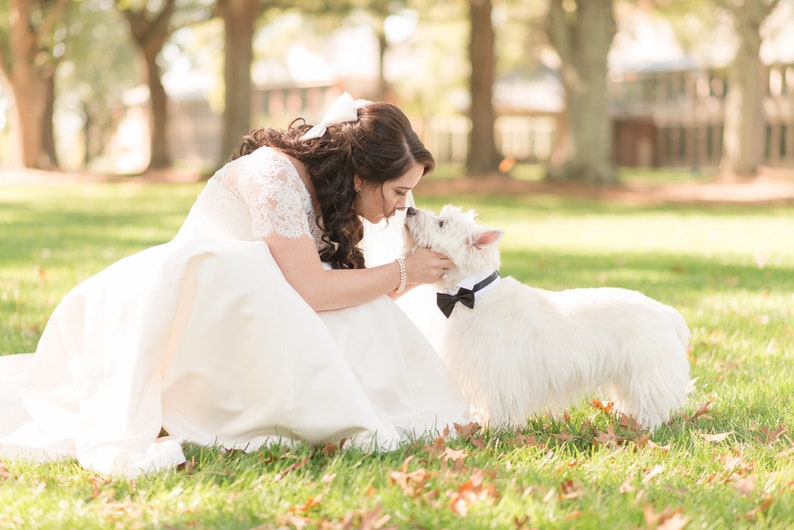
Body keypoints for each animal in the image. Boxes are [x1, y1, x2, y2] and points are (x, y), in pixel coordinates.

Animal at [402, 203, 688, 428]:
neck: (470, 294)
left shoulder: (499, 371)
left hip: (647, 370)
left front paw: (498, 430)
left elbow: (500, 403)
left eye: (441, 223)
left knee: (654, 401)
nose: (409, 210)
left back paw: (648, 426)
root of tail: (667, 313)